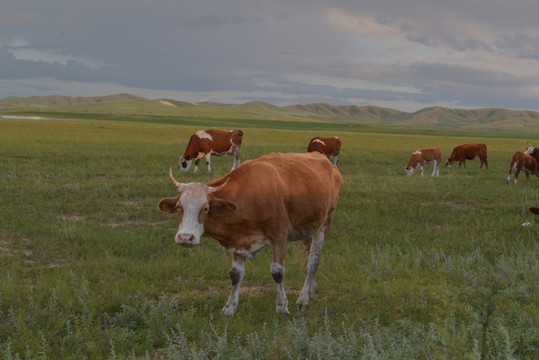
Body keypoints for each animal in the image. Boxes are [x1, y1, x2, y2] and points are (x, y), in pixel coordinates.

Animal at [158, 152, 342, 316]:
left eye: (205, 208)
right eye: (179, 207)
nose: (185, 238)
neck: (250, 196)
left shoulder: (280, 236)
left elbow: (278, 273)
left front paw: (282, 306)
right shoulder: (238, 240)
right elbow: (236, 275)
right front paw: (229, 308)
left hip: (325, 223)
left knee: (313, 261)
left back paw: (303, 299)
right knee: (308, 256)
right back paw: (311, 290)